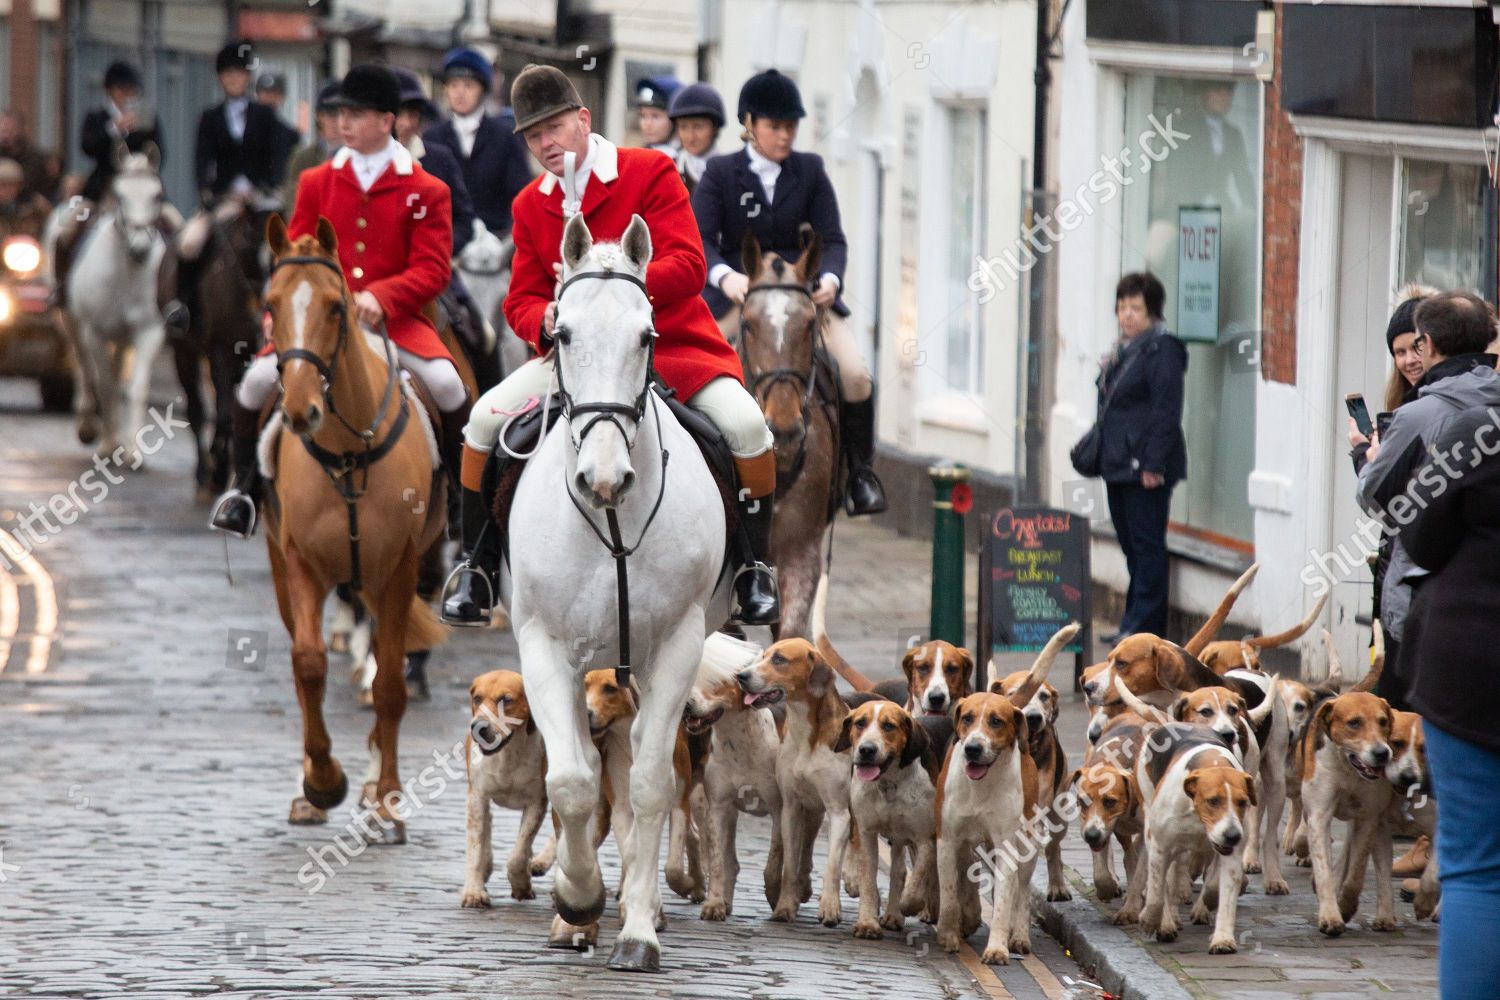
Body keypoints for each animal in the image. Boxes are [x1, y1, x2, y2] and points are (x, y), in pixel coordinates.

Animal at [62, 142, 168, 464]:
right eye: (120, 196)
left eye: (157, 195)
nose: (140, 248)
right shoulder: (94, 332)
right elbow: (106, 386)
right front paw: (107, 444)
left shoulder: (149, 332)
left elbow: (134, 388)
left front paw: (132, 449)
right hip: (75, 324)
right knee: (85, 368)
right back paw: (88, 425)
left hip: (121, 337)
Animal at [261, 218, 444, 845]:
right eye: (270, 305)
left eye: (337, 307)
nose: (300, 411)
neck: (346, 453)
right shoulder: (298, 563)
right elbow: (308, 664)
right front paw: (321, 781)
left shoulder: (400, 569)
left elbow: (389, 686)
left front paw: (385, 798)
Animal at [504, 211, 732, 971]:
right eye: (562, 334)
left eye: (647, 336)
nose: (604, 478)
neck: (610, 520)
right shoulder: (546, 646)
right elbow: (571, 781)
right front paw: (576, 901)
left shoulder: (676, 645)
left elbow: (650, 784)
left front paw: (635, 930)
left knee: (638, 775)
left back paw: (643, 908)